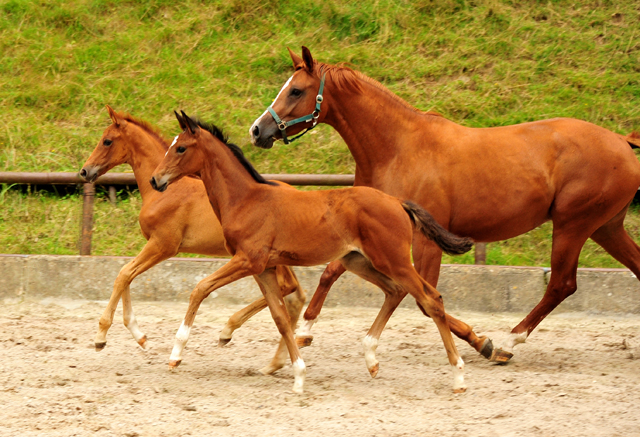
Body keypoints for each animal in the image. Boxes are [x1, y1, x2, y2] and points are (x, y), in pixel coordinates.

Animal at [79, 104, 304, 372]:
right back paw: (276, 358)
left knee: (287, 289)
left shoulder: (163, 245)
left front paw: (101, 337)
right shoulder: (153, 244)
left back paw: (234, 334)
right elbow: (127, 275)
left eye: (107, 141)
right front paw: (141, 338)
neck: (167, 191)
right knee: (294, 294)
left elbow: (124, 274)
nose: (84, 171)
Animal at [149, 110, 470, 394]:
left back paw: (458, 376)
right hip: (359, 261)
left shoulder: (247, 260)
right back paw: (371, 358)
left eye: (180, 148)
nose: (155, 180)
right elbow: (280, 318)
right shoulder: (264, 269)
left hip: (394, 261)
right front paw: (299, 375)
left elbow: (200, 288)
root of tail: (397, 202)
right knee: (395, 292)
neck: (246, 200)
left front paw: (176, 353)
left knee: (431, 300)